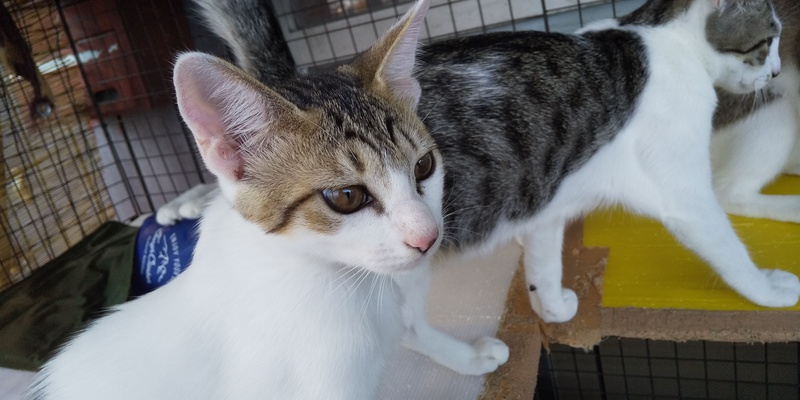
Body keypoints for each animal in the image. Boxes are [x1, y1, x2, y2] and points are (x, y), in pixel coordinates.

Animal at [28, 1, 507, 399]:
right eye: (346, 196)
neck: (339, 281)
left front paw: (459, 354)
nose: (428, 237)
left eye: (424, 166)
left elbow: (410, 322)